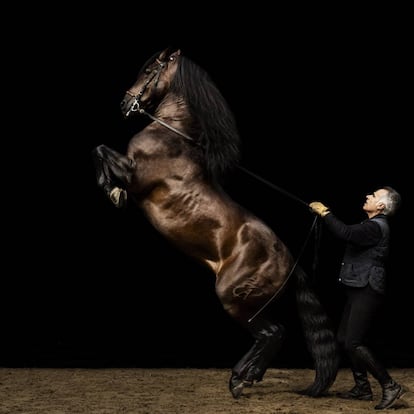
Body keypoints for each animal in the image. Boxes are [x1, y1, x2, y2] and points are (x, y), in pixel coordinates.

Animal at [92, 47, 338, 400]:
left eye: (150, 70)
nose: (126, 104)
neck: (171, 136)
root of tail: (291, 262)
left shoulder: (133, 174)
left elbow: (100, 151)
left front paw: (113, 193)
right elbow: (100, 151)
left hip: (233, 296)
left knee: (270, 333)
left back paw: (239, 380)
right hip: (251, 303)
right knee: (276, 333)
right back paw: (247, 376)